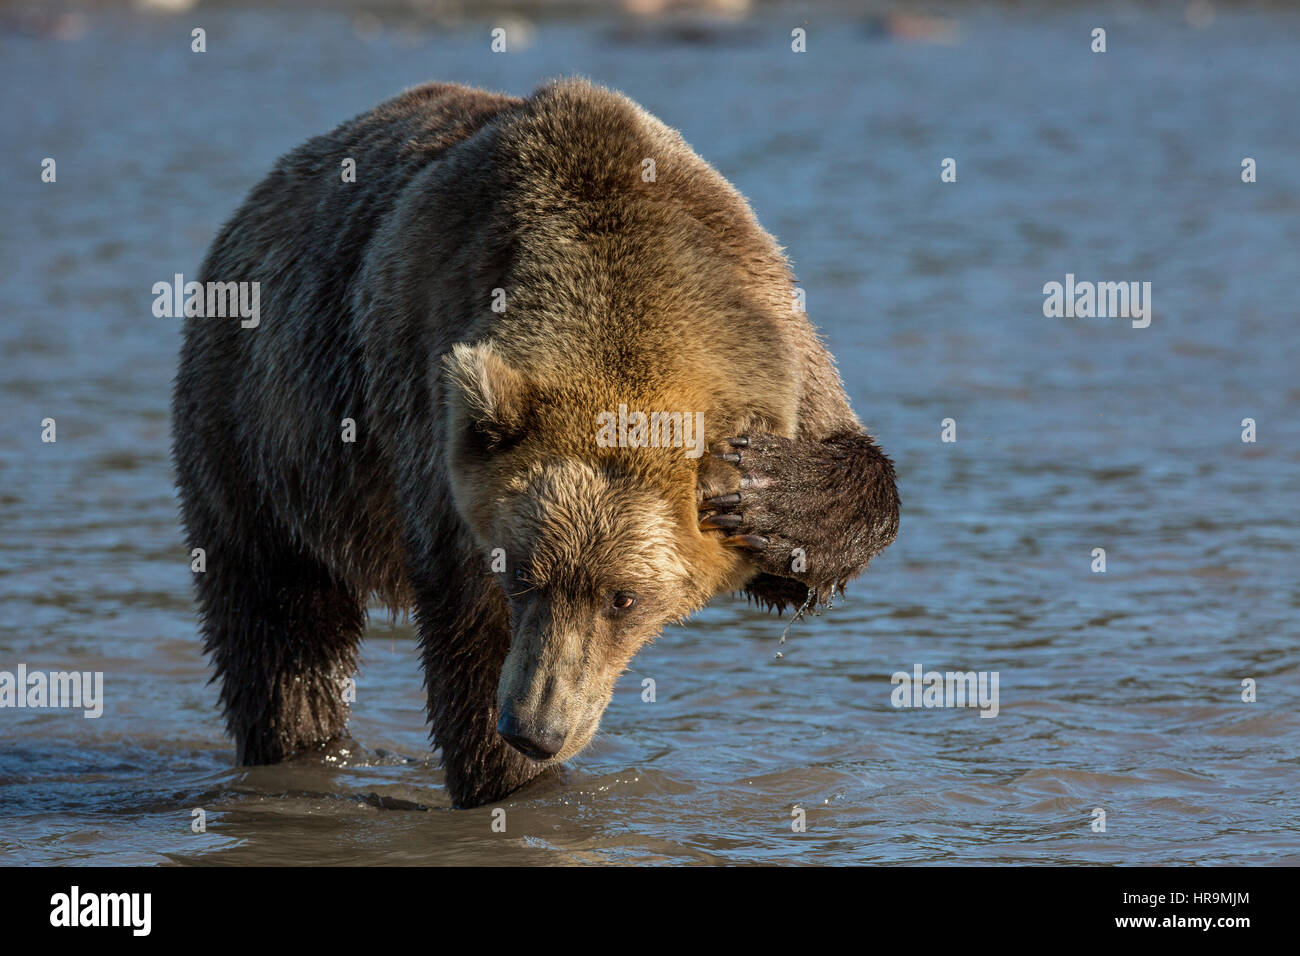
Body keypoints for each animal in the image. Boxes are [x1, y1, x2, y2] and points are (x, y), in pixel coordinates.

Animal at [172, 78, 899, 806]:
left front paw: (764, 492)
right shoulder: (435, 425)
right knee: (277, 630)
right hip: (259, 428)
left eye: (623, 597)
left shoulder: (785, 344)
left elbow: (833, 518)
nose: (534, 727)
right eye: (519, 572)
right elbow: (470, 634)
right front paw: (511, 779)